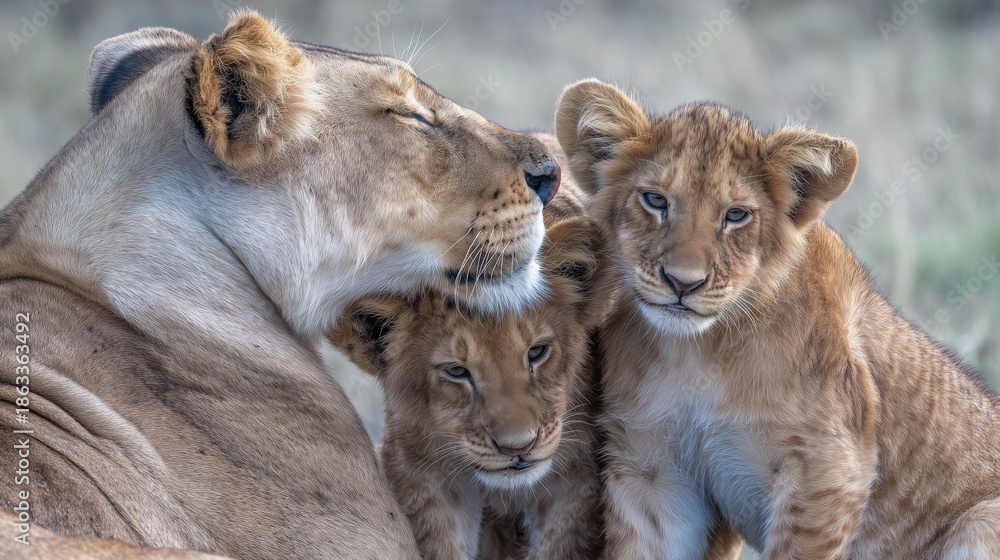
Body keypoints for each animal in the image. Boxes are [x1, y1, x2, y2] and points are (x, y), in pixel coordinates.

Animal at [554, 79, 1000, 559]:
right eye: (655, 200)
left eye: (735, 215)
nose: (682, 283)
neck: (696, 353)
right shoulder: (650, 472)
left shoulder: (830, 468)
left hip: (981, 519)